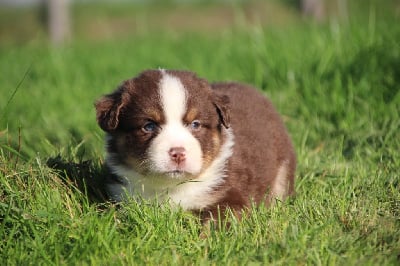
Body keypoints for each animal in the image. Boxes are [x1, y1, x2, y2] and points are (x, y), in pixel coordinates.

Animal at [94, 69, 296, 220]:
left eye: (195, 124)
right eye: (148, 126)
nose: (178, 153)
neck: (171, 187)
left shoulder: (231, 199)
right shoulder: (120, 196)